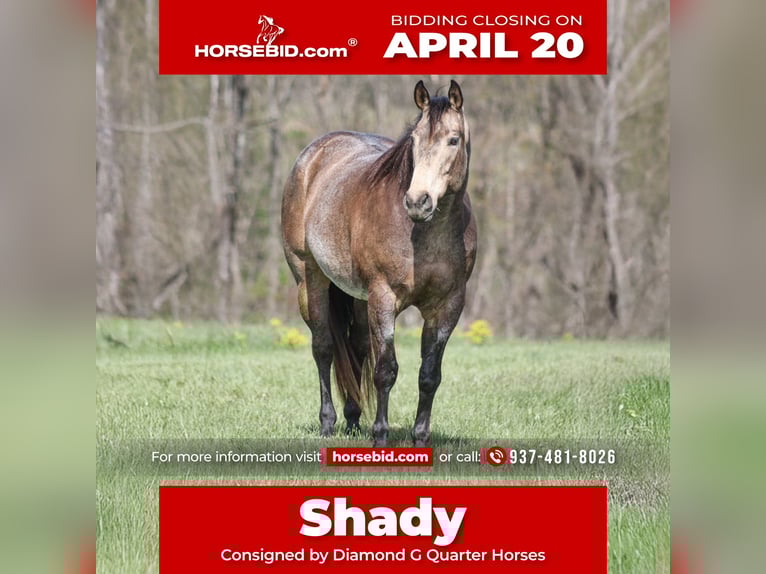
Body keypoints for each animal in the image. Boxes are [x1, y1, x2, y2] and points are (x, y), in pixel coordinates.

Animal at [281, 80, 477, 447]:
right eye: (414, 140)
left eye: (453, 140)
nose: (418, 202)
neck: (426, 236)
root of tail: (312, 156)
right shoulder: (384, 298)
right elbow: (386, 371)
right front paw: (381, 437)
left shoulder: (448, 305)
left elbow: (429, 375)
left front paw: (420, 438)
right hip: (309, 280)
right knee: (323, 348)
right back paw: (328, 423)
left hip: (359, 297)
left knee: (357, 347)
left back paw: (353, 420)